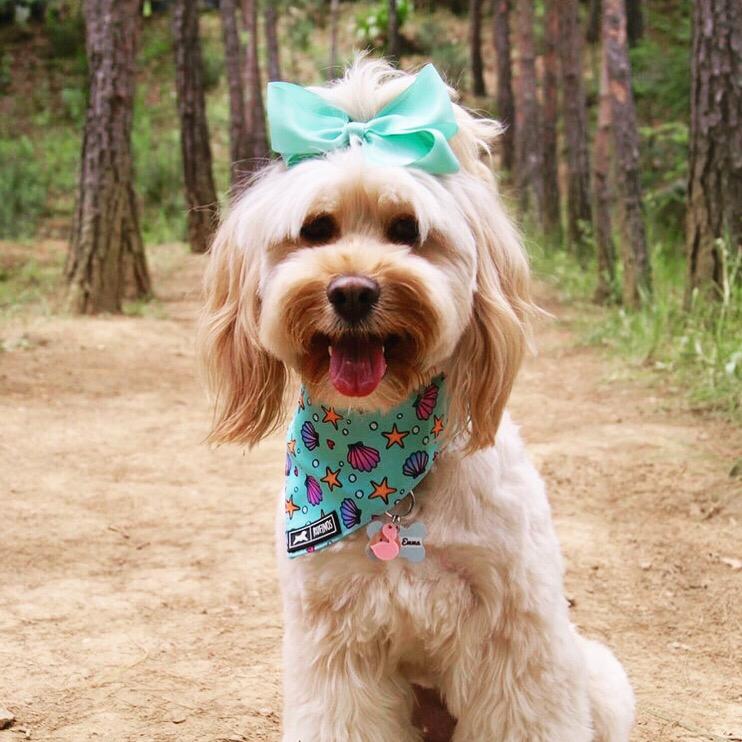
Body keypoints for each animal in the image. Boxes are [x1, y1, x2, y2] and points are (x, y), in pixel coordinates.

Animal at [201, 59, 636, 742]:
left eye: (407, 230)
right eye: (316, 230)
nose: (352, 291)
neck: (386, 466)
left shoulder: (515, 643)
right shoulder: (335, 648)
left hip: (600, 675)